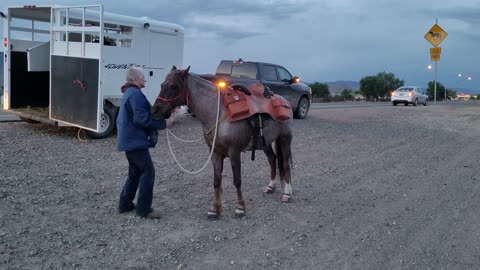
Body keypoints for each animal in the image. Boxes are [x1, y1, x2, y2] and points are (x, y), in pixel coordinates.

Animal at [151, 66, 292, 219]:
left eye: (173, 86)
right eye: (161, 85)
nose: (155, 110)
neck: (217, 113)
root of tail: (284, 100)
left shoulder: (234, 153)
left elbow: (237, 180)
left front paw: (240, 207)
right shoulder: (215, 153)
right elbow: (217, 181)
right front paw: (214, 209)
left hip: (284, 140)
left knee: (286, 165)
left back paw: (287, 194)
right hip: (265, 143)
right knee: (272, 160)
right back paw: (270, 187)